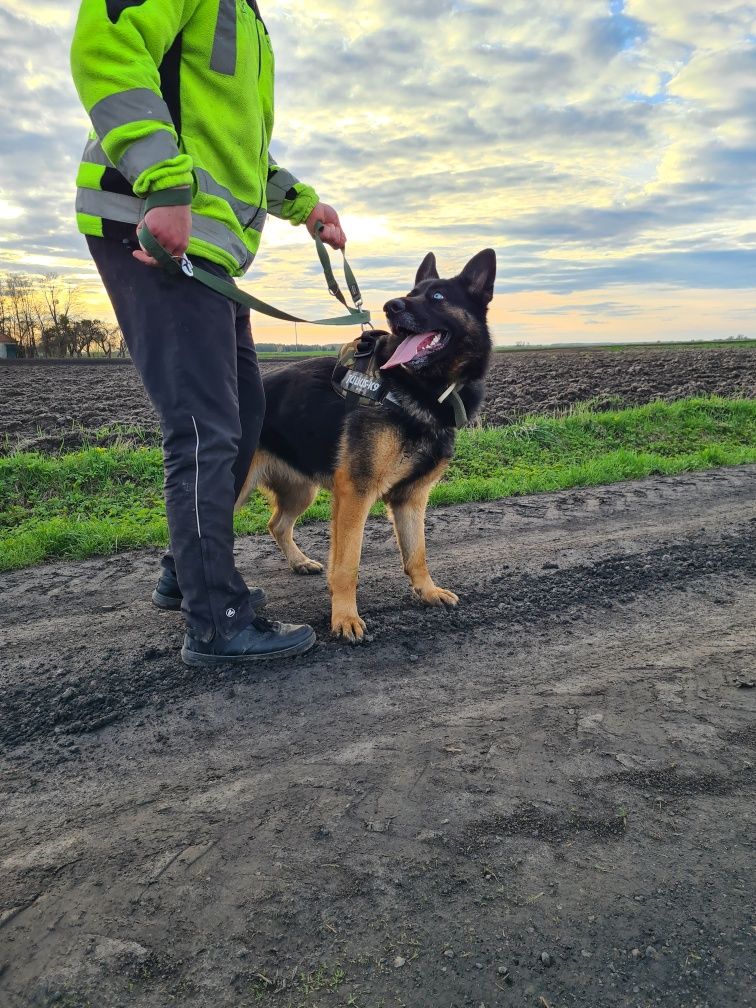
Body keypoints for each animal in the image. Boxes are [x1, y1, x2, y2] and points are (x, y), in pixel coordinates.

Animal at [236, 252, 497, 645]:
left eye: (437, 296)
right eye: (411, 293)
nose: (391, 306)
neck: (418, 388)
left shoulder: (411, 498)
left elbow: (417, 553)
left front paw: (427, 591)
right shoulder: (355, 493)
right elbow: (347, 565)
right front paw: (344, 617)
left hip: (302, 491)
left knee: (277, 524)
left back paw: (298, 562)